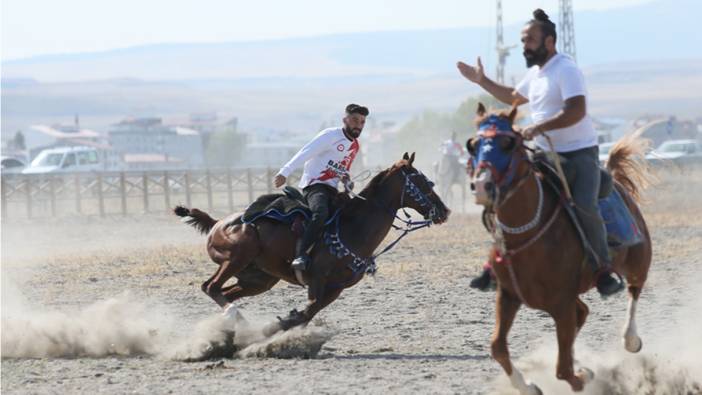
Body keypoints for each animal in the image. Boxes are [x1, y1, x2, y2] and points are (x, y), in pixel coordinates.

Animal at [176, 153, 452, 332]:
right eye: (422, 180)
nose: (444, 210)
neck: (353, 227)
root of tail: (218, 222)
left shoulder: (336, 287)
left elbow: (309, 313)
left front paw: (285, 324)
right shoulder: (317, 278)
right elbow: (309, 309)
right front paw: (278, 326)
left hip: (258, 279)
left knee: (226, 292)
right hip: (237, 256)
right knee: (210, 287)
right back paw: (238, 320)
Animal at [468, 103, 656, 394]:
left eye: (508, 143)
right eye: (473, 144)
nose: (481, 185)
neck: (527, 233)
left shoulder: (561, 304)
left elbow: (564, 371)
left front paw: (583, 374)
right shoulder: (509, 295)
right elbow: (498, 346)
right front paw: (528, 386)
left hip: (638, 261)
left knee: (634, 291)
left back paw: (630, 339)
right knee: (583, 313)